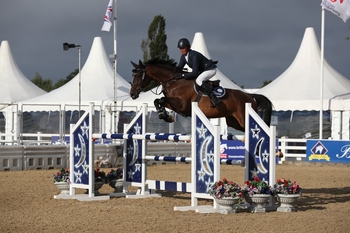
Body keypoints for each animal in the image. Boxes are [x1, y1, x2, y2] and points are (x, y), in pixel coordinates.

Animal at [131, 57, 274, 132]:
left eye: (137, 75)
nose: (132, 94)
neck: (173, 81)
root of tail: (250, 96)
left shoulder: (182, 105)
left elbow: (160, 99)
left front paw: (166, 116)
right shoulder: (175, 104)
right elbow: (157, 100)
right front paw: (164, 115)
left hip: (243, 118)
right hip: (234, 121)